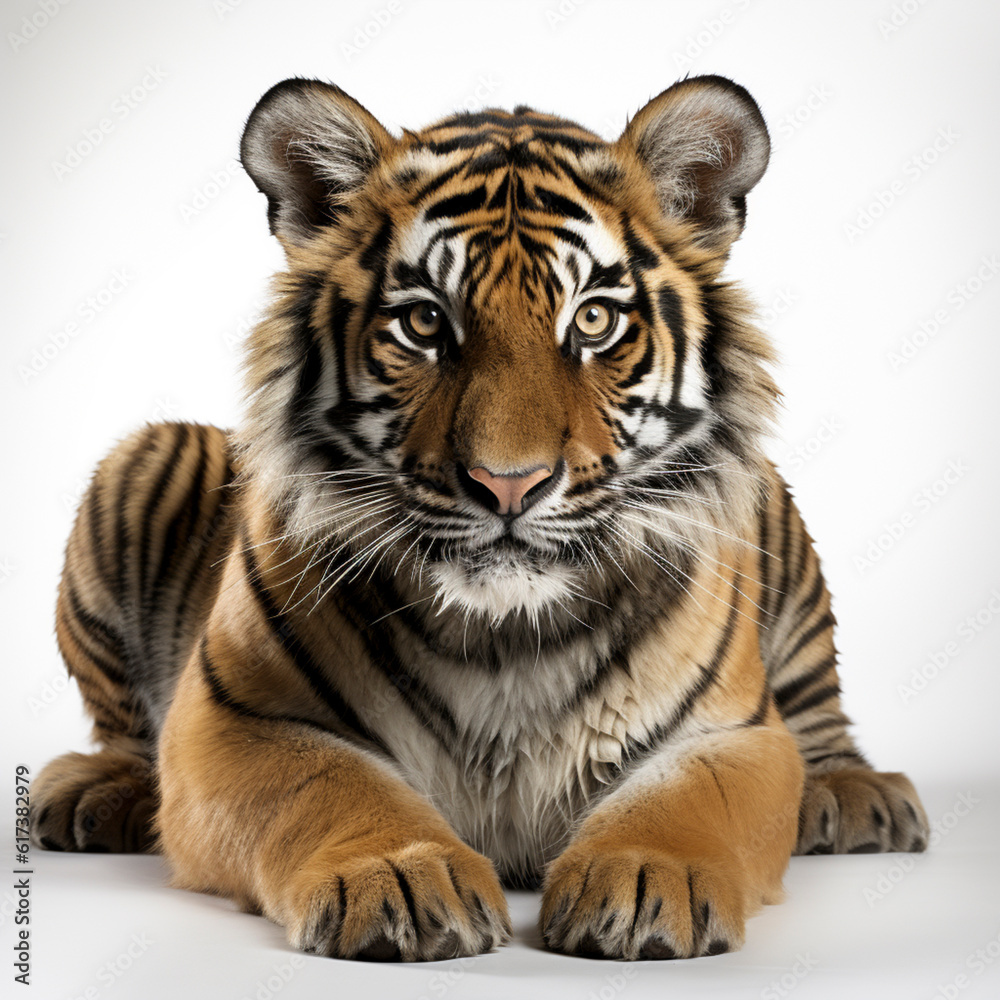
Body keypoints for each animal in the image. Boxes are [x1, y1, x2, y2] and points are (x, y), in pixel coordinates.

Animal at [32, 74, 930, 962]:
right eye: (425, 321)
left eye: (594, 319)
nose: (508, 485)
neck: (508, 634)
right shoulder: (235, 721)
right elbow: (332, 784)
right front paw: (401, 877)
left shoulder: (735, 735)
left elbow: (683, 799)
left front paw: (642, 879)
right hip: (142, 457)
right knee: (123, 729)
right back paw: (93, 795)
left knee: (819, 706)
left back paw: (856, 796)